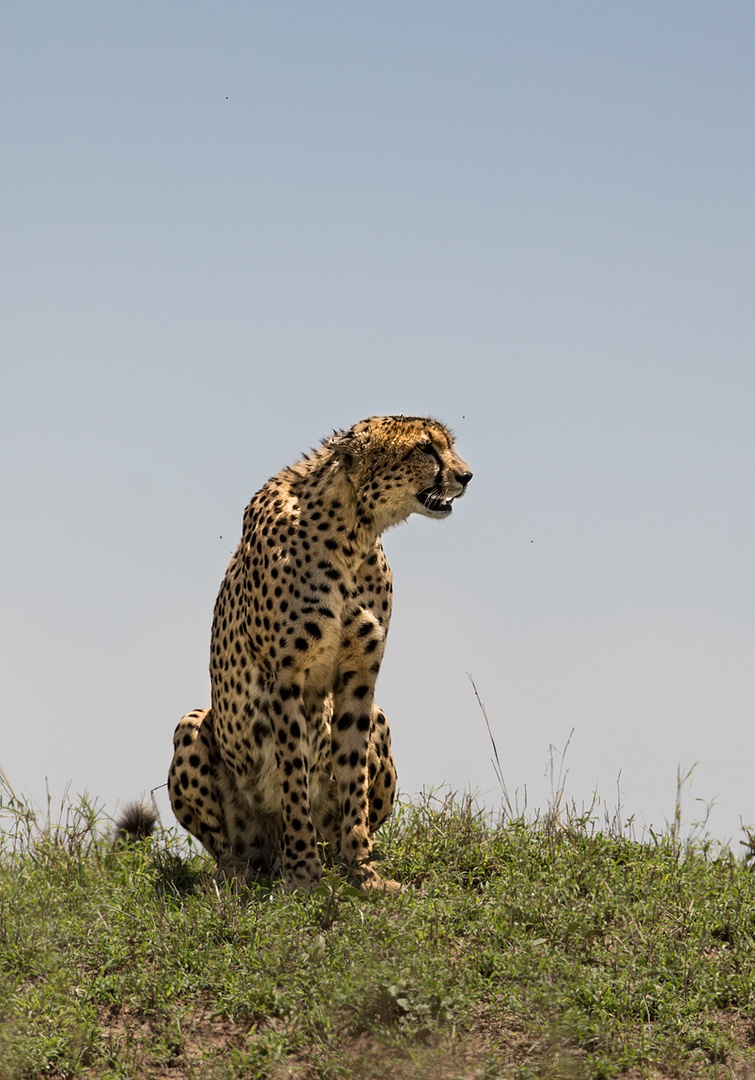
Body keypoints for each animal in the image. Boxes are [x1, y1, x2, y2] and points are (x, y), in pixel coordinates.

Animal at [169, 416, 473, 889]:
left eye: (448, 445)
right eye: (424, 449)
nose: (466, 476)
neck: (353, 532)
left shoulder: (359, 679)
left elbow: (352, 778)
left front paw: (364, 872)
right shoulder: (285, 678)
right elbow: (294, 775)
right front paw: (304, 875)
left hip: (380, 718)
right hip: (193, 725)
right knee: (232, 849)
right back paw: (240, 874)